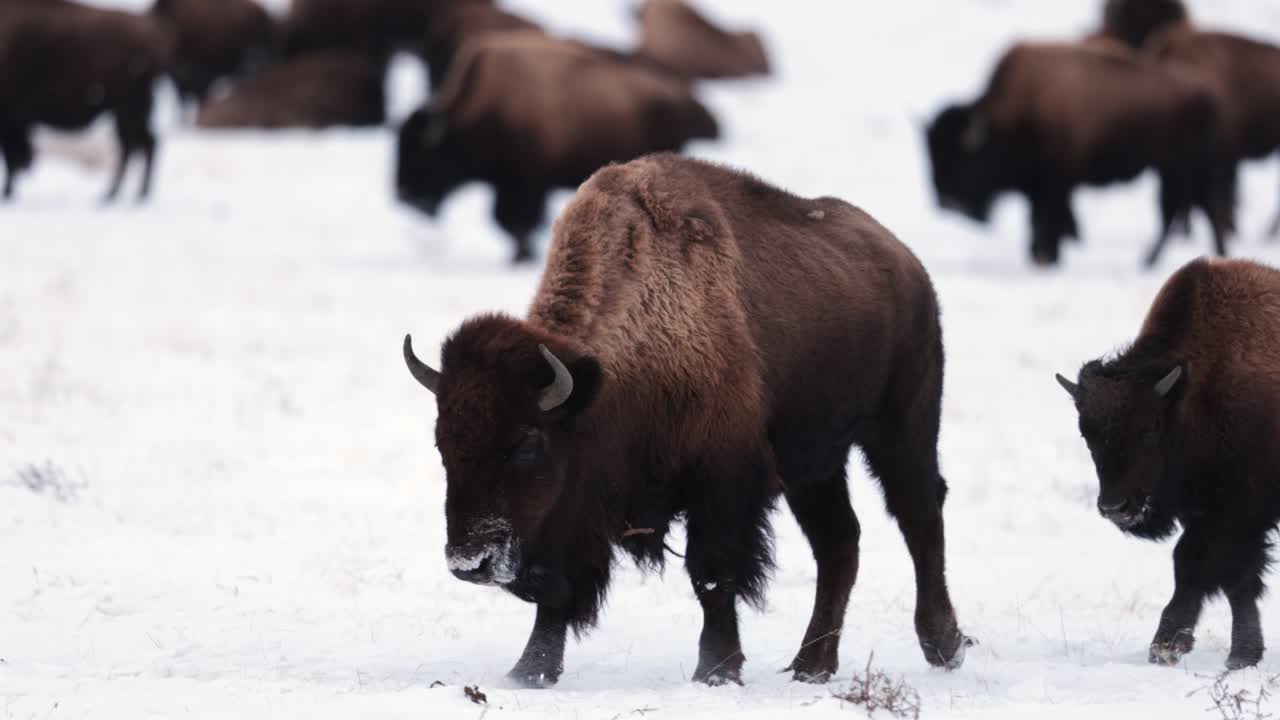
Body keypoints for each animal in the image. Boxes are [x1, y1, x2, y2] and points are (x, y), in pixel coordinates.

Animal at [0, 1, 171, 201]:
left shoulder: (11, 120)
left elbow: (11, 158)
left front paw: (7, 192)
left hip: (128, 107)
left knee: (136, 145)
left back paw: (117, 195)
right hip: (129, 109)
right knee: (142, 144)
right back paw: (125, 195)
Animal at [395, 33, 719, 263]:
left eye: (422, 153)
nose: (404, 196)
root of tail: (676, 99)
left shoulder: (526, 181)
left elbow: (516, 219)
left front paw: (522, 255)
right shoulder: (511, 183)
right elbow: (505, 220)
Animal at [401, 153, 970, 687]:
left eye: (524, 443)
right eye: (443, 446)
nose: (468, 564)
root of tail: (908, 264)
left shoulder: (721, 482)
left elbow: (711, 575)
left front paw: (716, 670)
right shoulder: (573, 509)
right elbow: (561, 587)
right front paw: (529, 672)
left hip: (901, 430)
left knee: (920, 515)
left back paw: (942, 645)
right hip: (816, 465)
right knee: (840, 543)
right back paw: (812, 665)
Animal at [925, 41, 1234, 267]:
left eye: (963, 159)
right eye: (932, 155)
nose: (945, 201)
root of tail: (1209, 95)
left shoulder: (1054, 185)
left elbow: (1047, 219)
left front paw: (1046, 257)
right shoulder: (1042, 188)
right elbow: (1042, 219)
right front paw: (1041, 255)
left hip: (1180, 170)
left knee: (1186, 211)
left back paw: (1152, 260)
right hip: (1177, 172)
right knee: (1198, 210)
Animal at [1056, 257, 1280, 669]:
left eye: (1149, 429)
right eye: (1086, 434)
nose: (1114, 508)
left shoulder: (1238, 512)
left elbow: (1196, 563)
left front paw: (1170, 645)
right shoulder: (1210, 512)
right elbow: (1232, 580)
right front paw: (1239, 654)